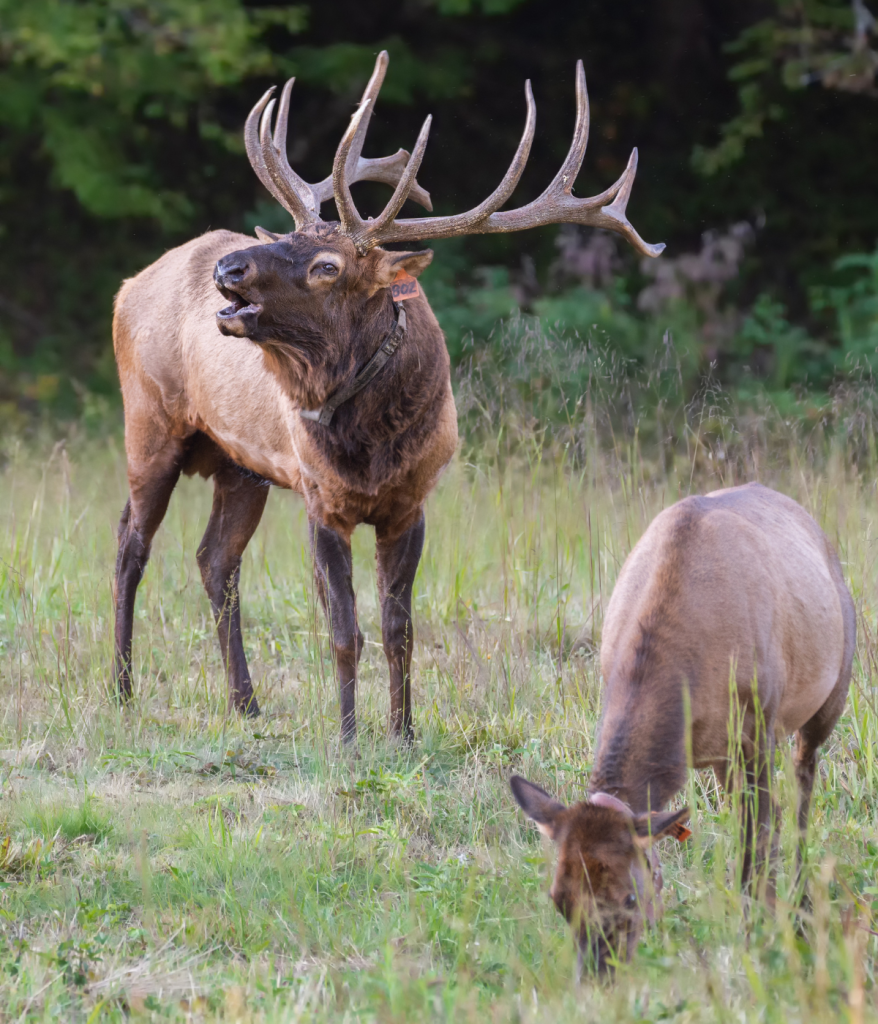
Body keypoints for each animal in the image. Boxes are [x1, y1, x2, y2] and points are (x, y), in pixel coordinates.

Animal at [109, 51, 659, 741]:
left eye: (327, 266)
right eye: (287, 235)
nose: (228, 270)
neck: (370, 446)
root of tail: (127, 286)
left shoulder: (411, 501)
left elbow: (400, 629)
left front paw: (403, 732)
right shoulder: (321, 498)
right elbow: (345, 629)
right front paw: (347, 736)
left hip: (241, 465)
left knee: (214, 560)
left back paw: (246, 703)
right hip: (149, 423)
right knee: (129, 545)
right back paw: (121, 691)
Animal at [510, 483, 852, 970]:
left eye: (630, 897)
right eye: (559, 899)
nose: (600, 972)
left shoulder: (759, 729)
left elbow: (759, 840)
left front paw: (760, 931)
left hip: (827, 698)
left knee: (802, 785)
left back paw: (801, 901)